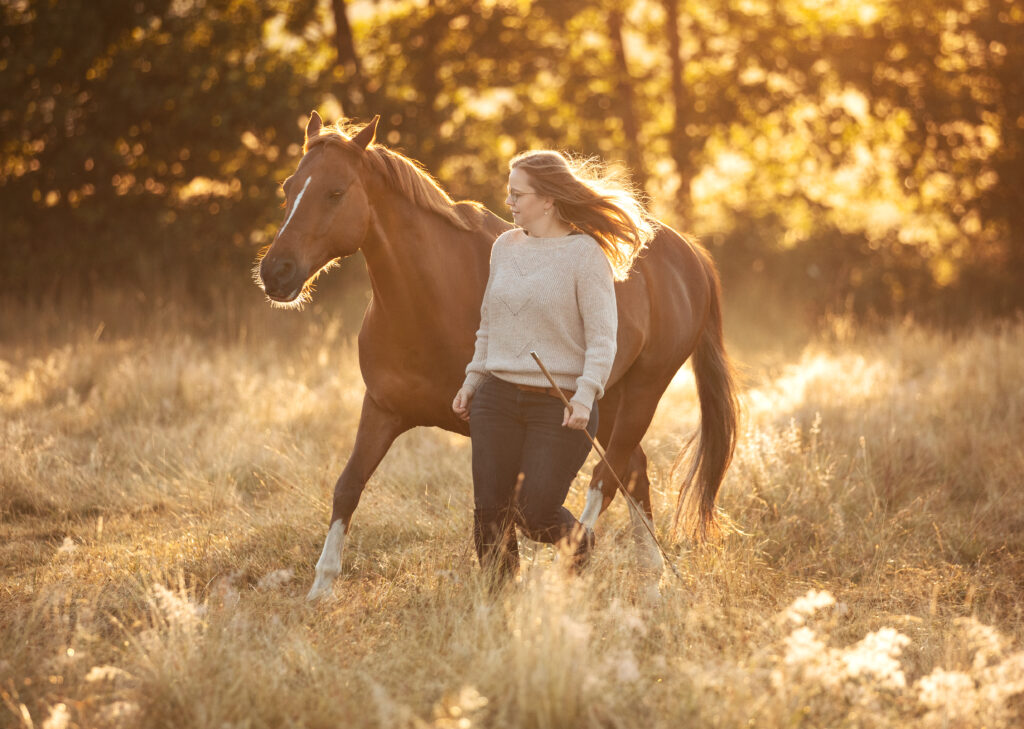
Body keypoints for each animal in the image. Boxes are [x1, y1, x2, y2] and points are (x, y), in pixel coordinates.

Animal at [256, 113, 737, 602]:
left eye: (335, 192)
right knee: (633, 472)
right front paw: (321, 587)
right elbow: (348, 486)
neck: (430, 298)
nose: (276, 272)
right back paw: (653, 582)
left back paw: (575, 567)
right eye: (288, 187)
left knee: (605, 479)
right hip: (603, 402)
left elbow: (507, 510)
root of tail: (687, 253)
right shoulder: (383, 410)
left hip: (641, 394)